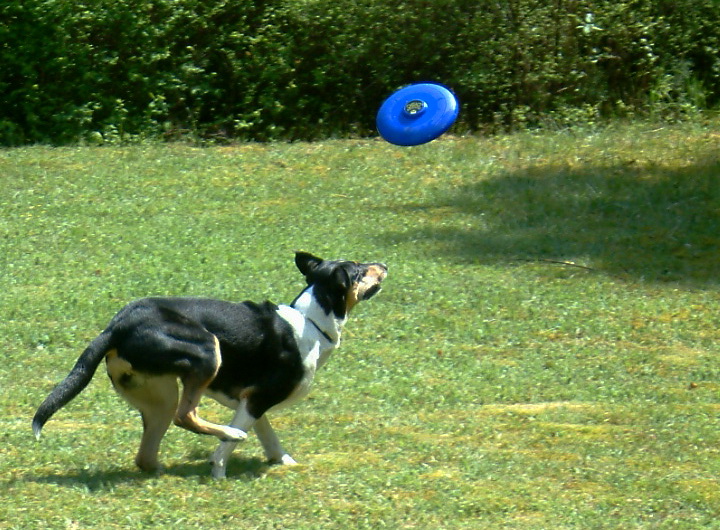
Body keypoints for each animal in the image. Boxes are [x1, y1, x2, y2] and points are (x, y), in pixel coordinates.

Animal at [32, 250, 388, 476]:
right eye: (359, 269)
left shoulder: (251, 401)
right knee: (186, 417)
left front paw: (284, 461)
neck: (311, 321)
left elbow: (269, 435)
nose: (384, 264)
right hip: (207, 350)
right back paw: (230, 435)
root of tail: (116, 327)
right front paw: (219, 469)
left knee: (146, 455)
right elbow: (229, 448)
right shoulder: (258, 398)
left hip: (159, 398)